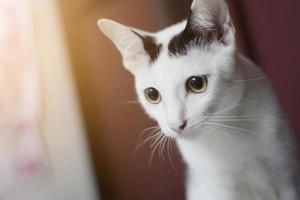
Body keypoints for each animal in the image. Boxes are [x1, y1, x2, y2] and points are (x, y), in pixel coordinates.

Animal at [97, 0, 298, 199]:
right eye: (152, 94)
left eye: (196, 83)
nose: (176, 125)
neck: (227, 130)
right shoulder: (218, 188)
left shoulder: (286, 172)